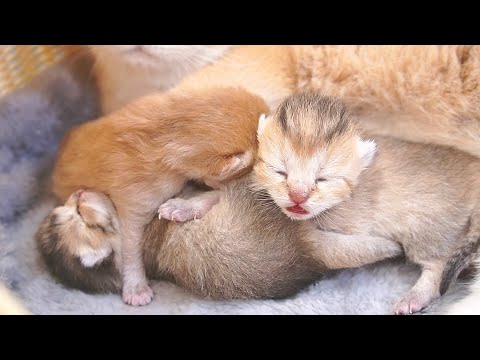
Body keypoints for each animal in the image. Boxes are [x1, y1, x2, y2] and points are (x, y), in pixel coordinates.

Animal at [253, 93, 480, 316]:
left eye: (323, 178)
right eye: (280, 171)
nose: (298, 196)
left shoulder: (354, 226)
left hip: (427, 225)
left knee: (438, 265)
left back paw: (415, 297)